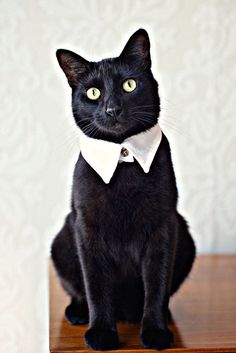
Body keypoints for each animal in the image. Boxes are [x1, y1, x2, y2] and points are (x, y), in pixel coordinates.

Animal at [51, 28, 195, 350]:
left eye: (129, 85)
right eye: (93, 93)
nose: (112, 109)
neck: (123, 154)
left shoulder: (163, 227)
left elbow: (156, 284)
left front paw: (155, 332)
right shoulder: (87, 229)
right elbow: (96, 287)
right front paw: (101, 334)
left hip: (185, 239)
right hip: (62, 241)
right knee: (77, 290)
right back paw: (78, 313)